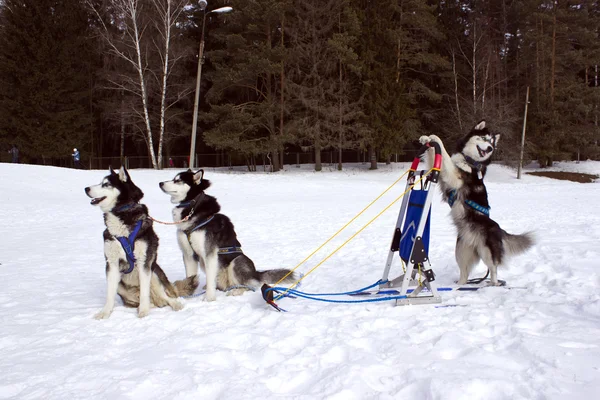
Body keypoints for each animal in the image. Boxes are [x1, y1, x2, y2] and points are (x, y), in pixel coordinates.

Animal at [85, 166, 199, 318]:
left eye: (106, 184)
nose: (86, 188)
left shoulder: (144, 261)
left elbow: (145, 292)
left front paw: (143, 312)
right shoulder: (112, 263)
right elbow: (110, 294)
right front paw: (105, 312)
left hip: (154, 273)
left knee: (165, 297)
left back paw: (174, 304)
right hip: (122, 287)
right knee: (155, 301)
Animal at [158, 168, 296, 300]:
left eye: (178, 180)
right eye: (173, 178)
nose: (160, 183)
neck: (192, 207)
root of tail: (256, 274)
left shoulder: (209, 254)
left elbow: (210, 279)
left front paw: (209, 298)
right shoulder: (188, 254)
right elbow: (190, 276)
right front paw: (189, 295)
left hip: (237, 261)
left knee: (251, 286)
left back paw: (236, 291)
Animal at [422, 120, 536, 286]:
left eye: (492, 143)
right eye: (484, 138)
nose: (489, 148)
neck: (470, 161)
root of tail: (499, 229)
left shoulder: (455, 178)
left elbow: (444, 152)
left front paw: (435, 138)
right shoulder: (444, 177)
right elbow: (435, 158)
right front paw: (426, 138)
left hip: (486, 251)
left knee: (493, 270)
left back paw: (492, 284)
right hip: (461, 252)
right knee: (464, 274)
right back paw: (459, 286)